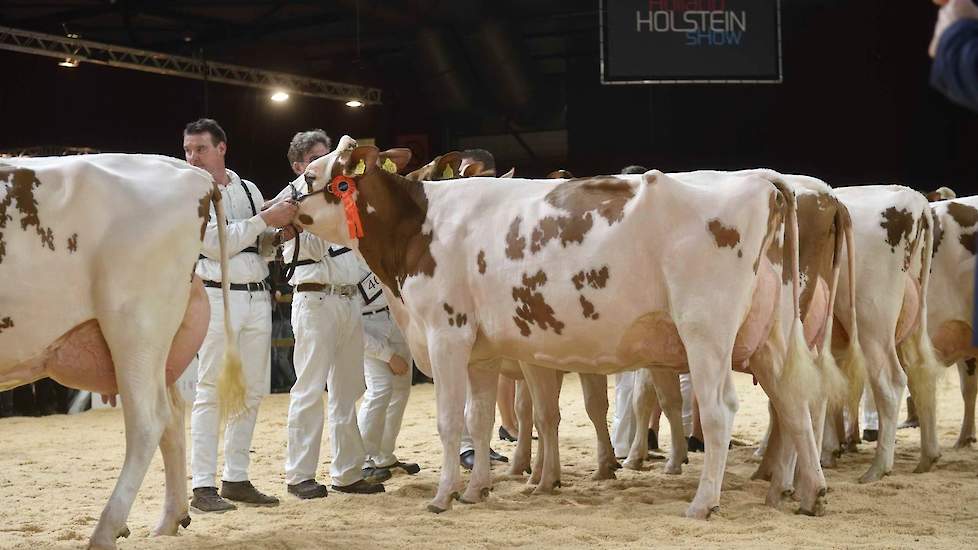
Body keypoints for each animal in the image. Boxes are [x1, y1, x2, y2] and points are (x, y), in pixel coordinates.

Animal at [0, 154, 242, 550]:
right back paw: (168, 520)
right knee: (172, 415)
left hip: (134, 325)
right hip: (159, 341)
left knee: (148, 420)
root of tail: (191, 172)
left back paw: (106, 530)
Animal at [290, 141, 832, 516]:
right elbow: (481, 420)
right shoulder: (483, 352)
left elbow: (451, 421)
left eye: (313, 175)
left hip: (706, 332)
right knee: (793, 400)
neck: (420, 227)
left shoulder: (447, 334)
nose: (281, 207)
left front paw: (444, 496)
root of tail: (761, 178)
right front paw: (477, 489)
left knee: (722, 411)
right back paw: (809, 493)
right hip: (772, 332)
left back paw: (704, 502)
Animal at [820, 187, 940, 484]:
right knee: (921, 371)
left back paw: (878, 468)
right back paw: (928, 457)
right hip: (911, 319)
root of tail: (915, 200)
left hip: (872, 321)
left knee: (891, 382)